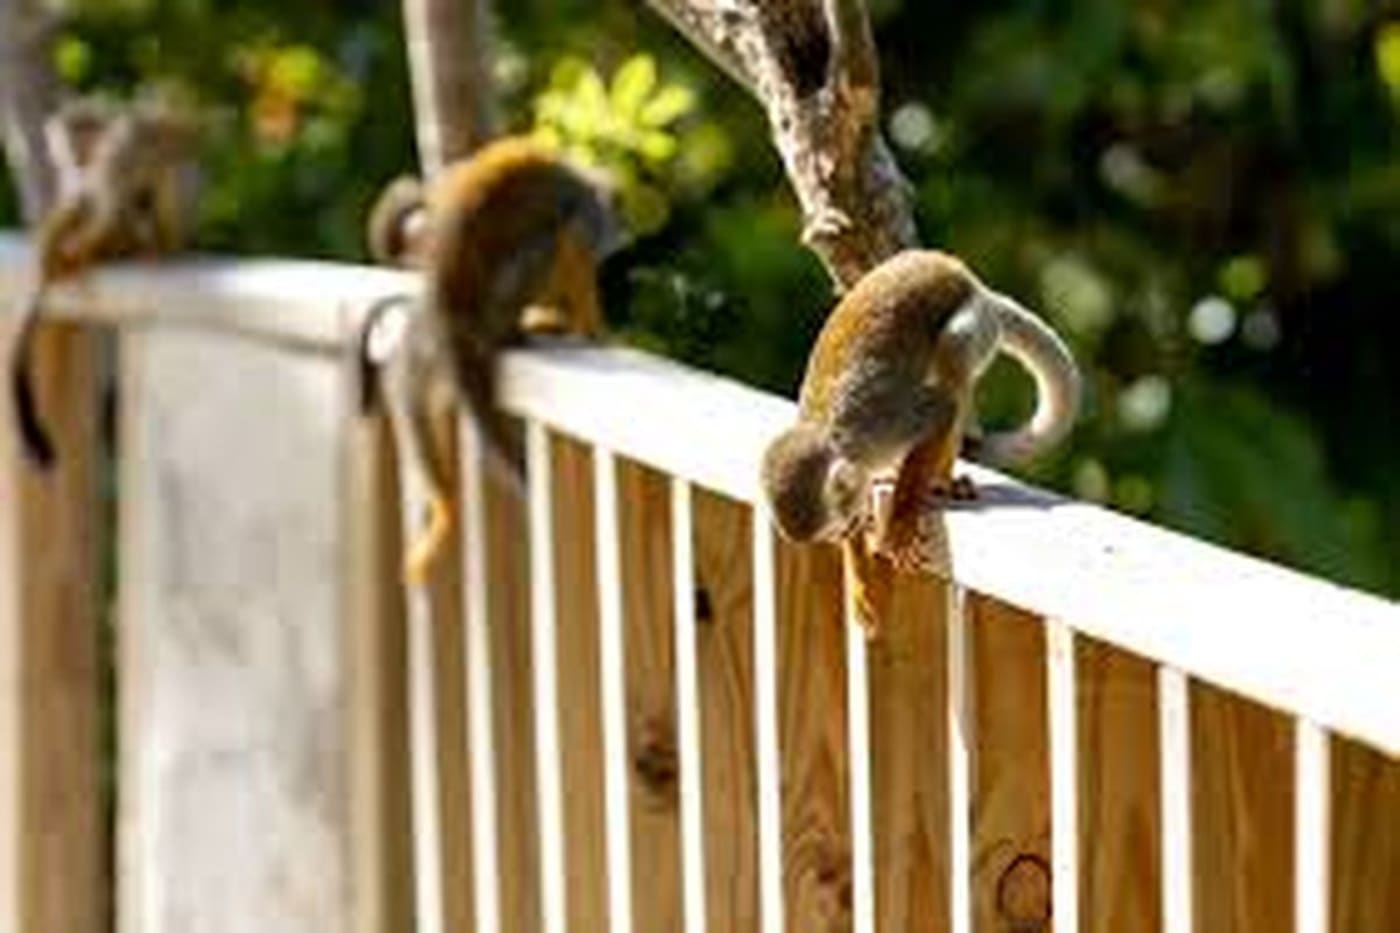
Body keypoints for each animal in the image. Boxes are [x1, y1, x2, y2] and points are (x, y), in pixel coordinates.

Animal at [8, 95, 199, 468]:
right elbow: (81, 203)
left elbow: (112, 211)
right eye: (71, 137)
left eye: (87, 134)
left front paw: (72, 258)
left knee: (157, 182)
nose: (79, 152)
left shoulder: (116, 152)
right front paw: (53, 256)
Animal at [361, 137, 626, 582]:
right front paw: (594, 327)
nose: (621, 236)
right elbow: (574, 243)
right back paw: (514, 331)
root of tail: (452, 309)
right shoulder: (585, 212)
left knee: (408, 401)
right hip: (491, 302)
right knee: (548, 241)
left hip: (428, 343)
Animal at [760, 249, 1081, 632]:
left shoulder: (880, 424)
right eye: (839, 533)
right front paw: (861, 577)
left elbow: (939, 412)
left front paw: (900, 520)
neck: (836, 438)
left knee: (953, 354)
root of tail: (970, 280)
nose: (852, 527)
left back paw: (941, 478)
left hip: (977, 321)